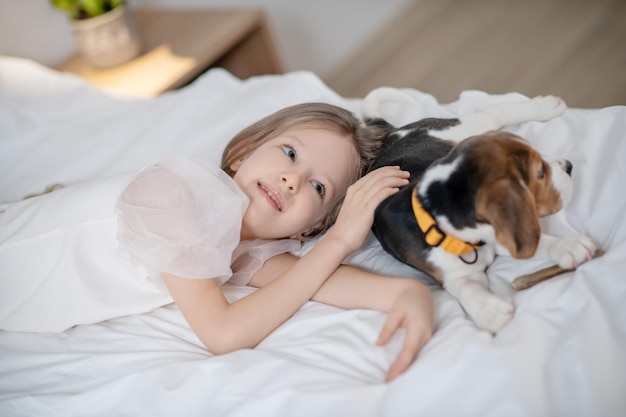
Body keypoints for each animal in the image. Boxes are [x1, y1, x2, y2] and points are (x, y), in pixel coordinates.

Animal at [364, 88, 596, 332]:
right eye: (540, 173)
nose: (568, 166)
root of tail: (392, 135)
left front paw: (568, 246)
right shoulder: (453, 272)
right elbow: (465, 288)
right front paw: (490, 312)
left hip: (466, 128)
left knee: (491, 112)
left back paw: (546, 106)